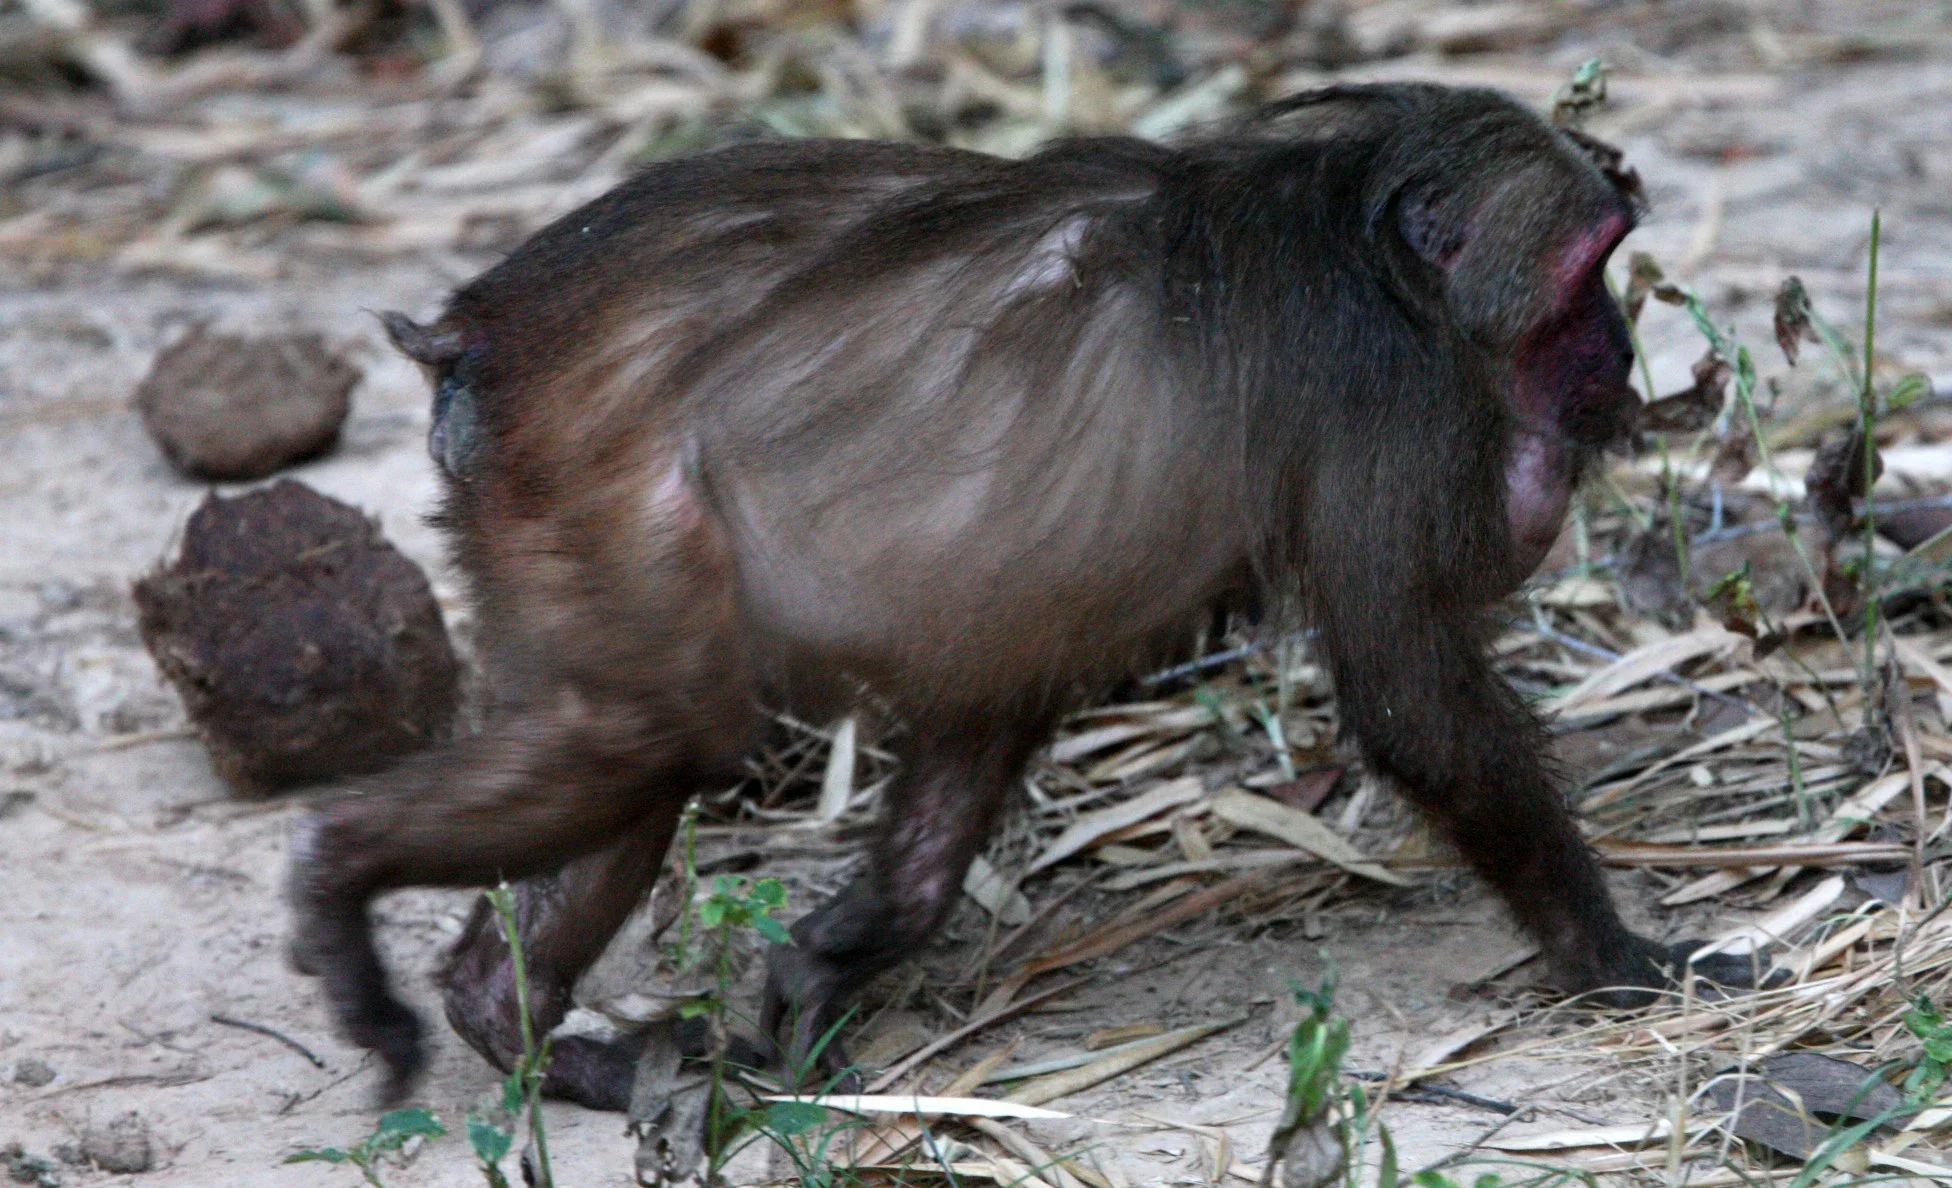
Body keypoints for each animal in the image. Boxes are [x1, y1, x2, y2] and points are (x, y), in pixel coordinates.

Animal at [287, 84, 1766, 1110]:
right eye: (1585, 285)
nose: (1618, 358)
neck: (1371, 245)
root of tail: (475, 343)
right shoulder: (1390, 406)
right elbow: (1414, 706)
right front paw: (1614, 954)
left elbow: (986, 693)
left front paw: (841, 957)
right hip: (598, 505)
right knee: (649, 736)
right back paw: (348, 868)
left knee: (644, 752)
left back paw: (517, 1025)